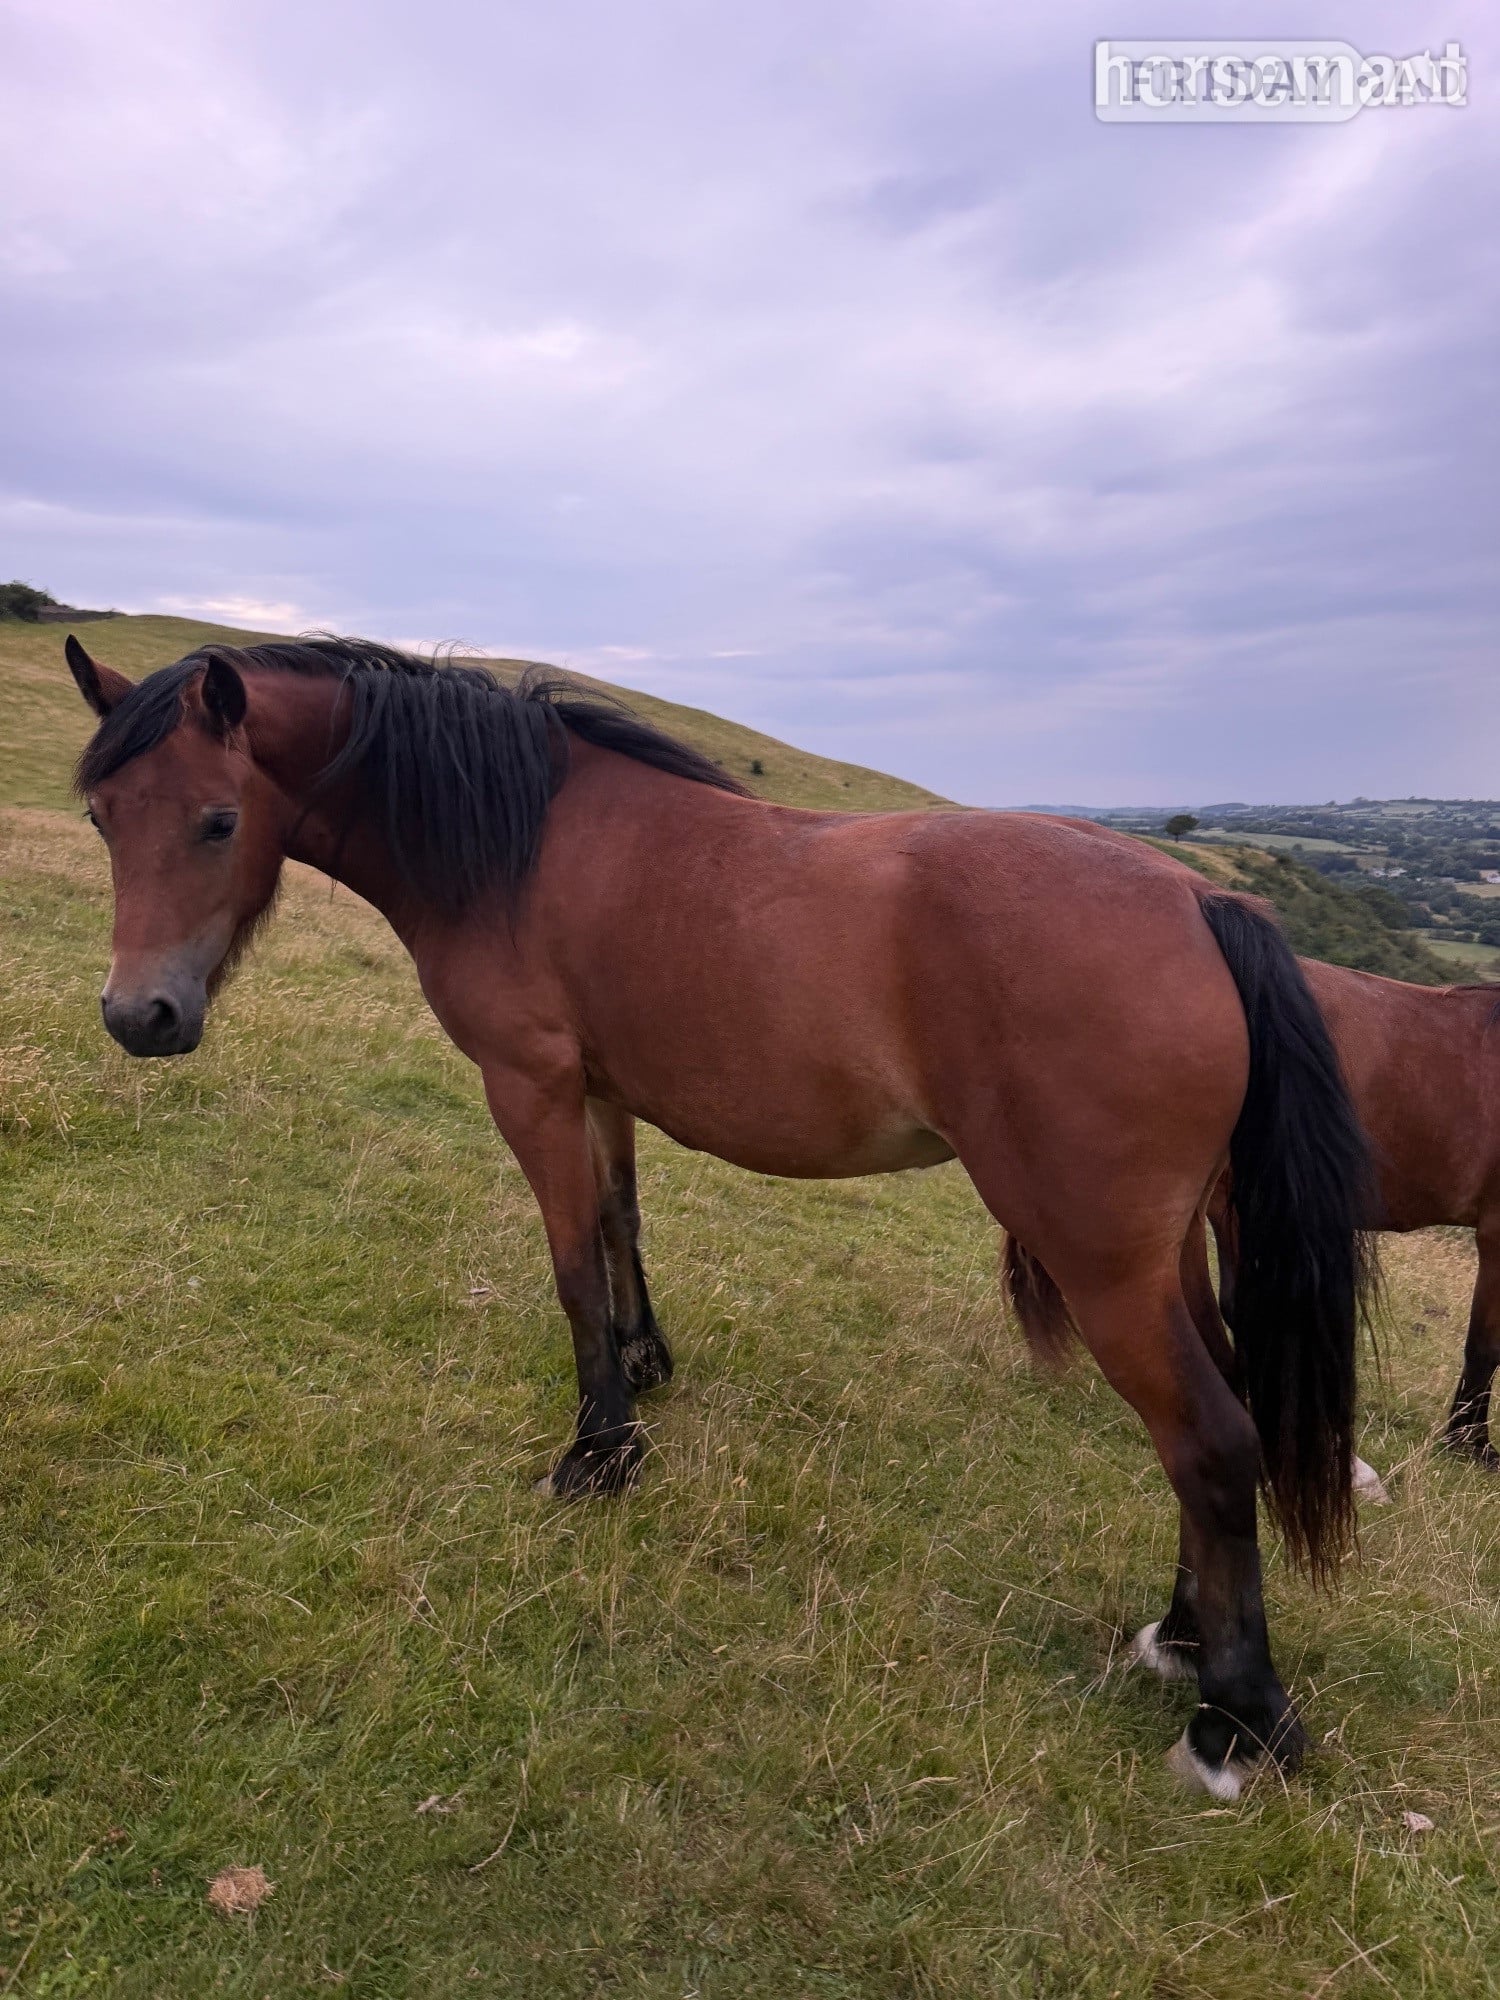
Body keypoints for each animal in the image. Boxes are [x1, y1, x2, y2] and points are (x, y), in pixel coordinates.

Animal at [63, 631, 1375, 1800]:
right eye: (104, 818)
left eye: (217, 820)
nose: (139, 1016)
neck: (518, 841)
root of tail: (1202, 901)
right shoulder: (598, 1089)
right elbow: (618, 1224)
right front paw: (645, 1368)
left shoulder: (528, 1086)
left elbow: (568, 1262)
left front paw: (598, 1450)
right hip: (1167, 1252)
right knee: (1226, 1407)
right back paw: (1183, 1634)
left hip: (1104, 1261)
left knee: (1210, 1438)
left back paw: (1239, 1721)